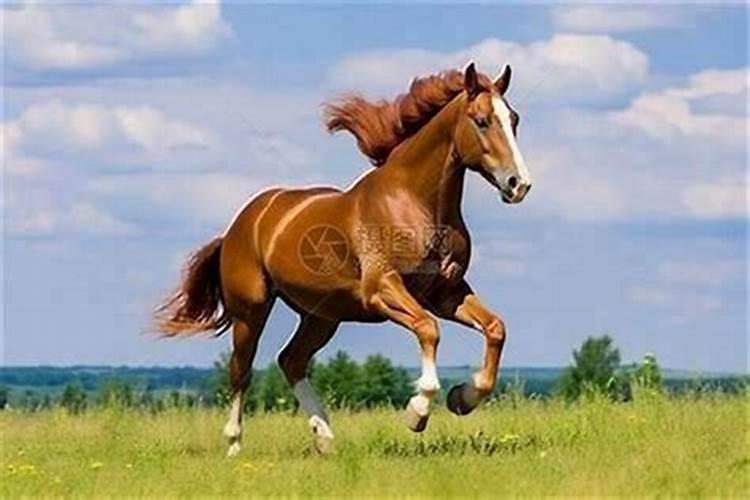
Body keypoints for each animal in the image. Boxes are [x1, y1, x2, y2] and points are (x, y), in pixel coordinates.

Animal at [155, 62, 532, 457]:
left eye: (514, 119)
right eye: (482, 120)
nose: (518, 184)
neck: (415, 203)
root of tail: (239, 225)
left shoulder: (447, 293)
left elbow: (495, 328)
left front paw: (463, 398)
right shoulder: (382, 290)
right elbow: (428, 328)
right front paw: (417, 412)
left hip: (322, 316)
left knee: (291, 360)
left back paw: (324, 436)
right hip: (251, 311)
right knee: (241, 370)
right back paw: (234, 445)